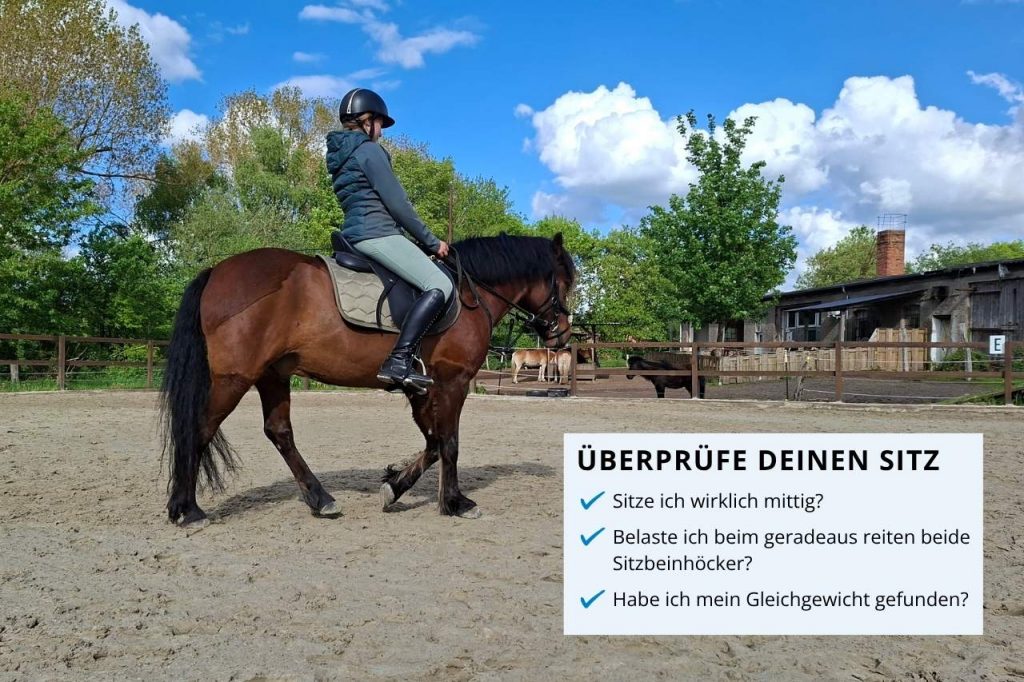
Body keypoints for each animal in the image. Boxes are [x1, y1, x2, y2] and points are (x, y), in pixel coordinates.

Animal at [161, 233, 575, 526]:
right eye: (566, 283)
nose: (562, 336)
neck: (469, 294)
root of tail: (217, 271)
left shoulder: (421, 389)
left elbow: (434, 443)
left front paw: (394, 487)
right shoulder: (452, 383)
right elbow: (450, 443)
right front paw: (456, 502)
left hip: (272, 375)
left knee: (279, 432)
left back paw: (321, 499)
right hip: (234, 378)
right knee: (198, 429)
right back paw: (187, 509)